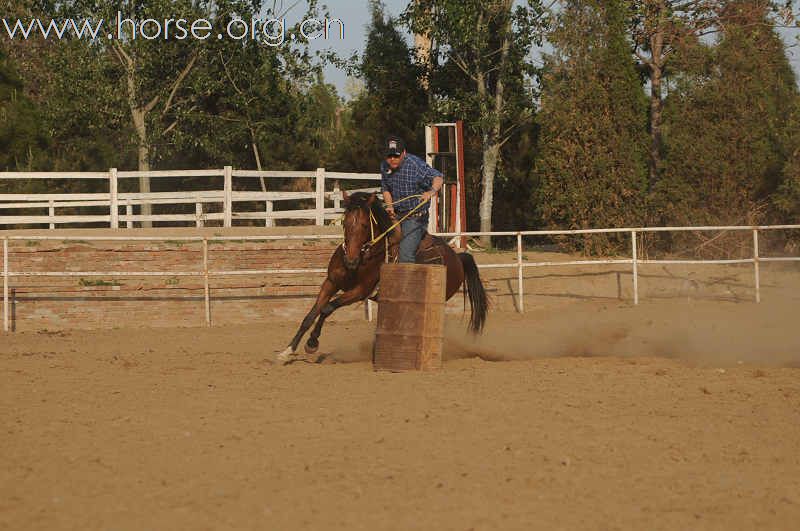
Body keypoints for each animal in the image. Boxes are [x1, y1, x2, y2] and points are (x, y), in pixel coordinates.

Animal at [276, 192, 488, 366]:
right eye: (345, 223)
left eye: (363, 225)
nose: (350, 260)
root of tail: (457, 257)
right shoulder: (330, 283)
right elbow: (310, 315)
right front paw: (287, 351)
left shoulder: (360, 292)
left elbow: (327, 308)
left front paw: (312, 343)